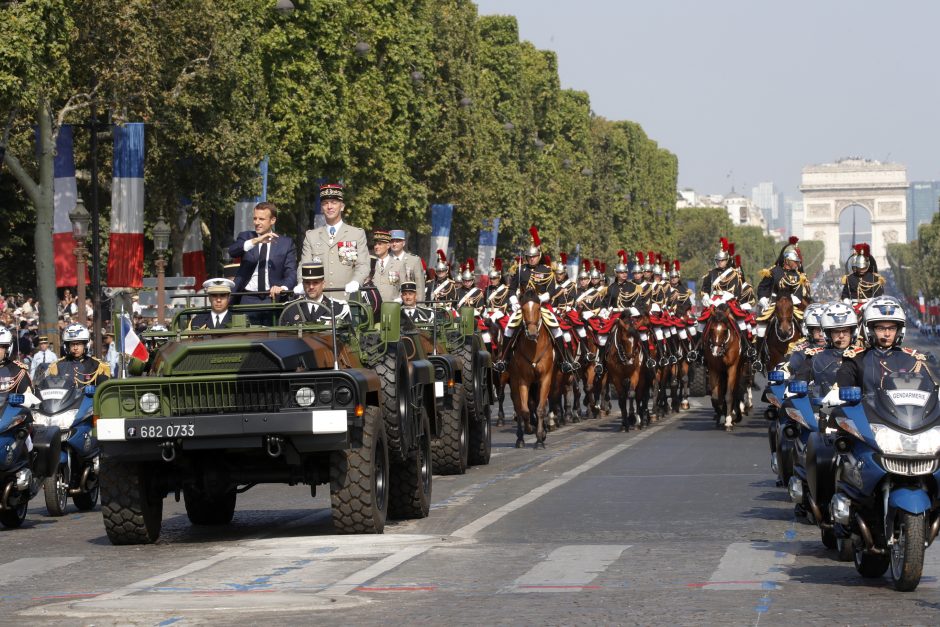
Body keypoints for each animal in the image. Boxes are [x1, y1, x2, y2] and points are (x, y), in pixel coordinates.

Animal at [510, 294, 556, 446]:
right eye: (522, 309)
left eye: (538, 308)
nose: (531, 333)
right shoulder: (523, 380)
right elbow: (524, 410)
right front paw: (530, 429)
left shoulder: (546, 378)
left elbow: (541, 408)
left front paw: (540, 437)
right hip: (513, 381)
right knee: (518, 406)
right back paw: (520, 437)